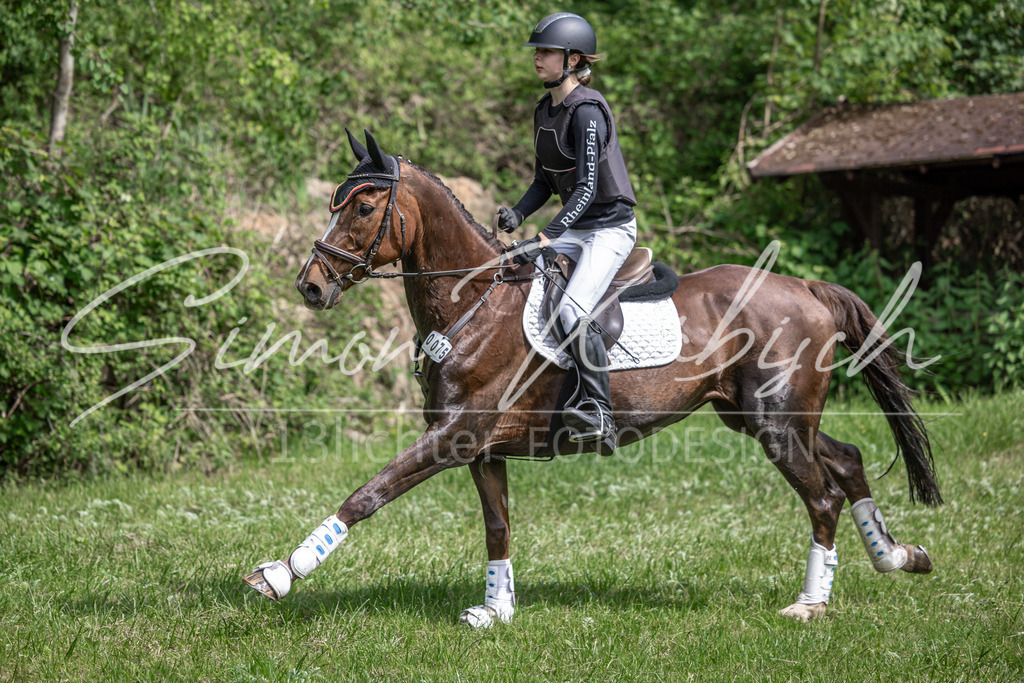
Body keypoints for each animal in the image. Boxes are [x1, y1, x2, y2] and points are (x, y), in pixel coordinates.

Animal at [244, 130, 941, 626]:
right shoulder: (480, 448)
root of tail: (804, 286)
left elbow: (368, 494)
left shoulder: (454, 438)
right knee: (847, 461)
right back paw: (898, 556)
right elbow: (498, 527)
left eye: (363, 206)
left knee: (822, 495)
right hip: (758, 415)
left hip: (776, 422)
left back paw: (811, 603)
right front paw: (496, 612)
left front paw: (280, 573)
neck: (473, 306)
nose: (310, 286)